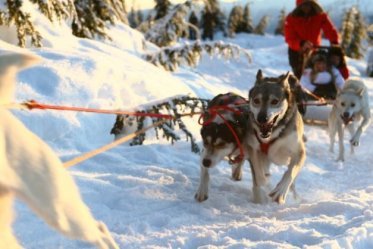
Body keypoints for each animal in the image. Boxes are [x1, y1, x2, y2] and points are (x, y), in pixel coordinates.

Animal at [246, 70, 304, 204]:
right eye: (256, 100)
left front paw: (280, 191)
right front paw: (263, 186)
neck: (273, 134)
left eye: (274, 101)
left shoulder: (298, 152)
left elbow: (290, 173)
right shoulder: (252, 147)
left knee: (292, 180)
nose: (262, 118)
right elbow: (258, 173)